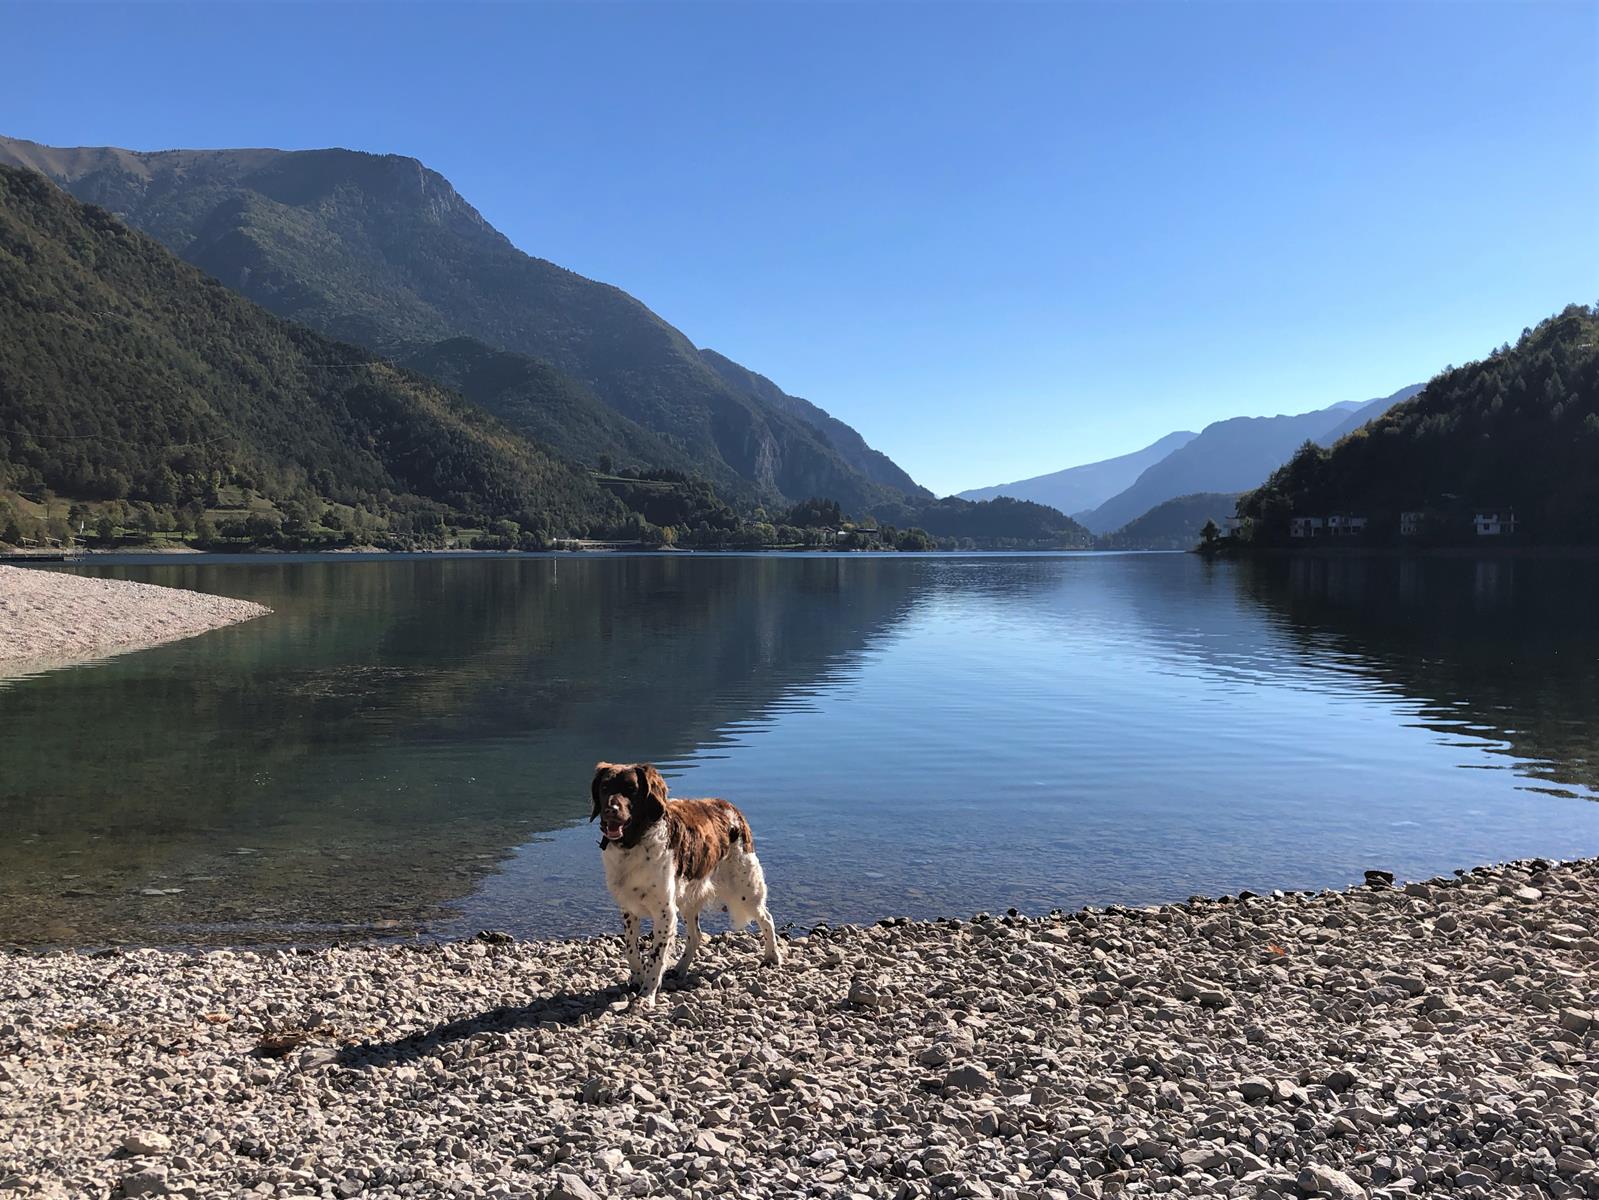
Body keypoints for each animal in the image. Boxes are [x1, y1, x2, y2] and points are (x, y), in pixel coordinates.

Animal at [594, 761, 780, 1004]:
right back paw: (681, 968)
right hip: (689, 899)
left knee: (767, 919)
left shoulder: (665, 911)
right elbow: (631, 949)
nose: (610, 810)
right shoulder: (629, 908)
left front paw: (647, 995)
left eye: (631, 789)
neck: (634, 842)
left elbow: (656, 956)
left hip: (745, 889)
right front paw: (636, 979)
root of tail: (731, 808)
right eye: (605, 787)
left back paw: (772, 956)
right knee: (696, 936)